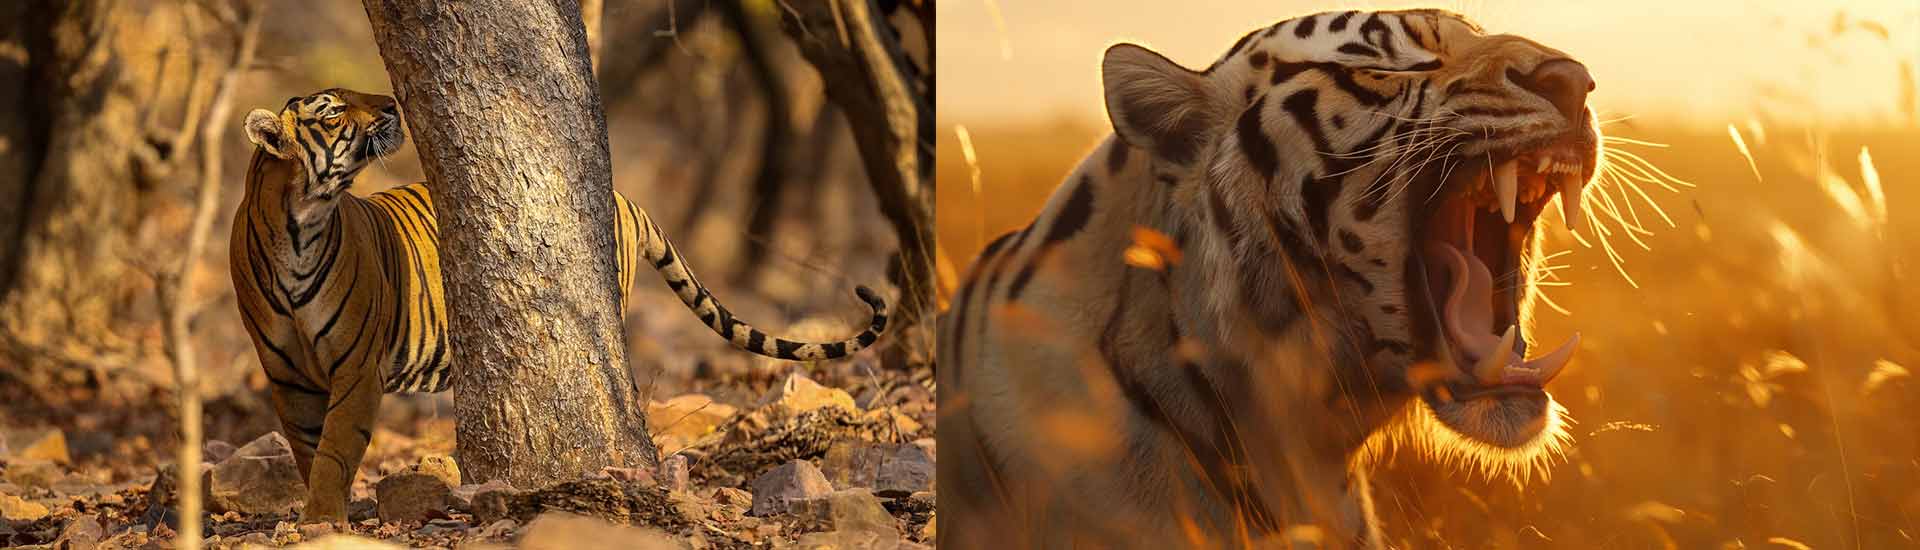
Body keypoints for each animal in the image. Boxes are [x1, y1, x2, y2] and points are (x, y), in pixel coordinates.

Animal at [231, 88, 889, 522]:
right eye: (333, 110)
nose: (392, 104)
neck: (300, 223)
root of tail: (623, 196)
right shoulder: (285, 372)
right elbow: (309, 446)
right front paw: (321, 512)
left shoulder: (357, 365)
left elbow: (337, 447)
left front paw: (323, 519)